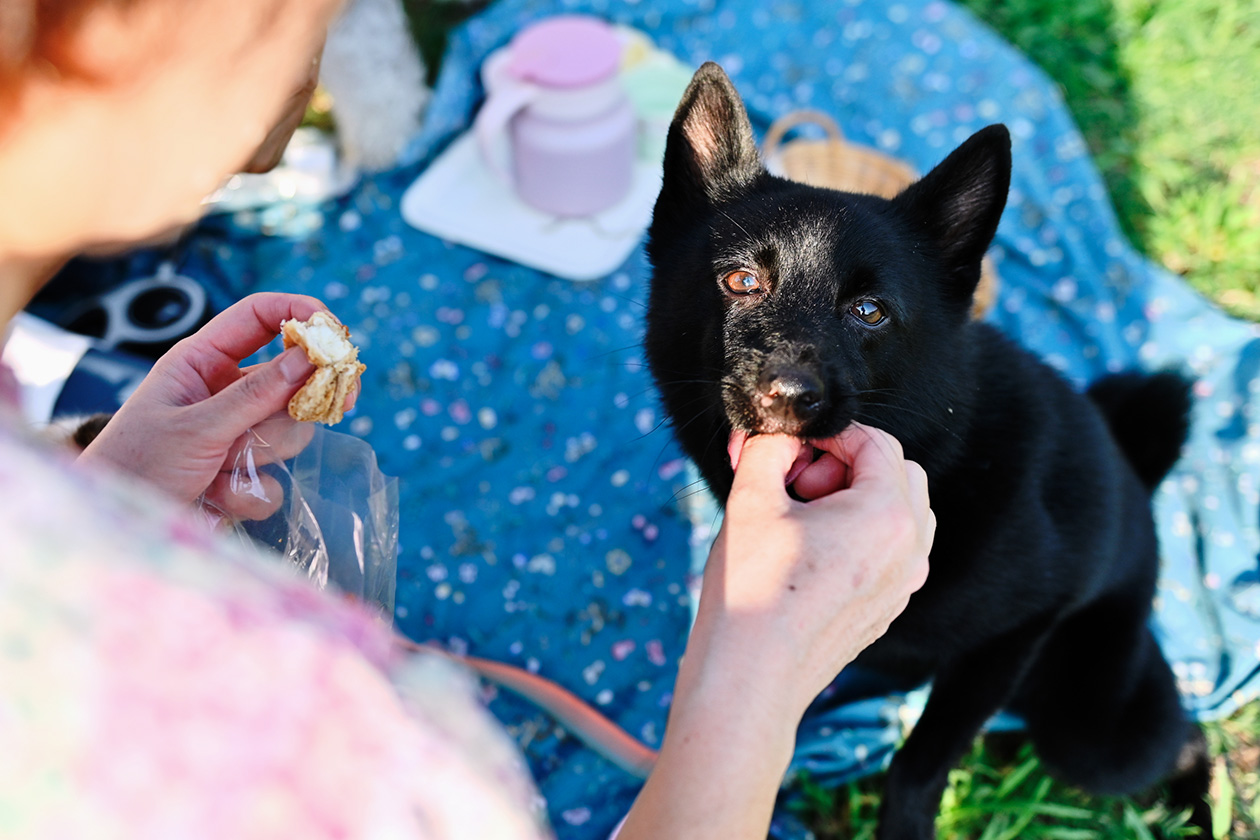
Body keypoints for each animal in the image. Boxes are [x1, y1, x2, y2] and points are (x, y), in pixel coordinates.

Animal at [645, 64, 1204, 840]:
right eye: (740, 281)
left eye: (870, 311)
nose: (788, 394)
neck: (944, 458)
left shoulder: (1019, 630)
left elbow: (919, 760)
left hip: (1092, 734)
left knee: (1184, 737)